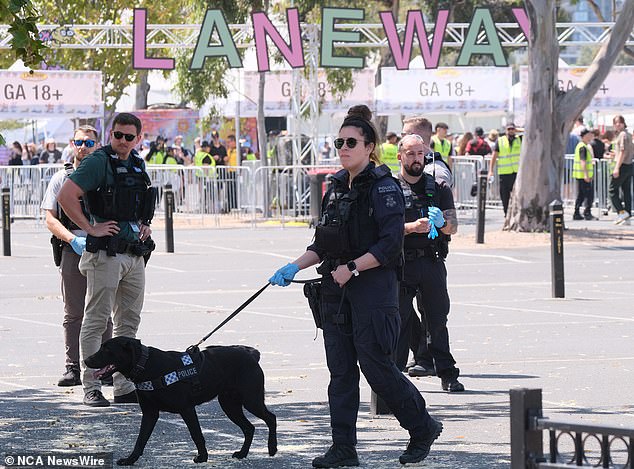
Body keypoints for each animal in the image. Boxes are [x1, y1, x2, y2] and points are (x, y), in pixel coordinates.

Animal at [86, 336, 276, 464]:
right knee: (249, 428)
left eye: (107, 349)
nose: (86, 360)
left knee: (270, 418)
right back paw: (243, 453)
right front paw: (130, 459)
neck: (147, 365)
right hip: (230, 405)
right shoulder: (149, 413)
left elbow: (196, 434)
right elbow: (140, 440)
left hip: (251, 400)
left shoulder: (187, 409)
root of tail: (251, 355)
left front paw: (202, 457)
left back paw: (272, 447)